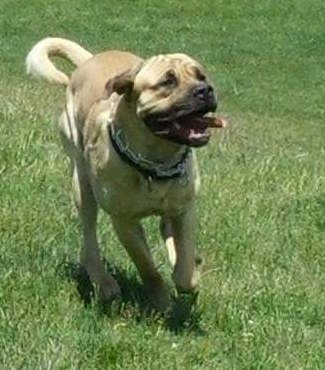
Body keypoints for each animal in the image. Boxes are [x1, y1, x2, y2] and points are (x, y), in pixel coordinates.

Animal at [26, 37, 225, 310]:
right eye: (168, 82)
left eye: (200, 75)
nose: (205, 90)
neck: (155, 161)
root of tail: (90, 59)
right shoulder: (124, 221)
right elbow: (146, 265)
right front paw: (161, 300)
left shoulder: (184, 209)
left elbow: (184, 263)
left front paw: (189, 274)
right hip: (81, 183)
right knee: (89, 237)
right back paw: (104, 283)